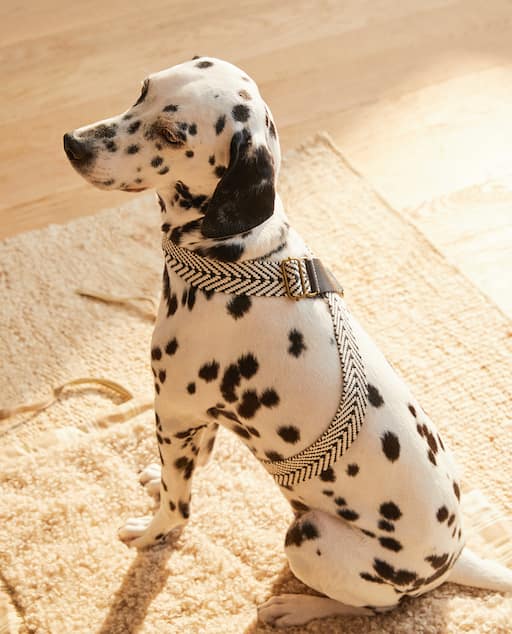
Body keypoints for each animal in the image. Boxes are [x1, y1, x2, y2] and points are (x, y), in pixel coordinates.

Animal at [63, 56, 512, 627]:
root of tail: (453, 560)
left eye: (172, 133)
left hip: (309, 537)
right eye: (144, 89)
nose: (73, 143)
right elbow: (190, 463)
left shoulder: (175, 410)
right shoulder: (198, 418)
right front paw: (156, 477)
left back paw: (296, 607)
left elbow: (177, 503)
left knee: (376, 610)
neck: (236, 255)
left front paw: (152, 531)